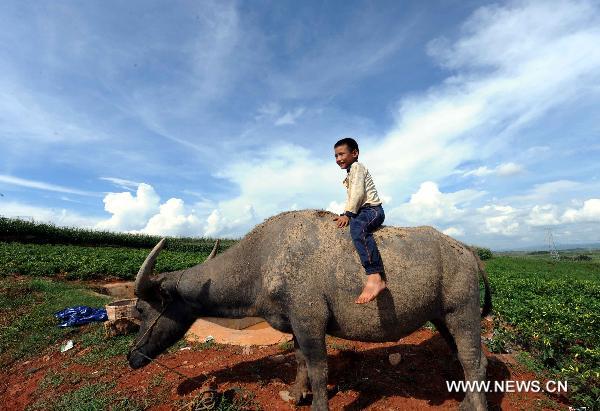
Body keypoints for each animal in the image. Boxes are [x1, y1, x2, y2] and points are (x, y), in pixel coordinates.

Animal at [129, 211, 490, 410]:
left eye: (142, 310)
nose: (132, 357)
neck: (262, 263)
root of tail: (468, 251)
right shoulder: (296, 327)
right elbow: (300, 362)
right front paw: (295, 394)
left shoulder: (310, 323)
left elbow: (318, 369)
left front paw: (315, 402)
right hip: (443, 319)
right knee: (467, 360)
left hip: (463, 315)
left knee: (475, 360)